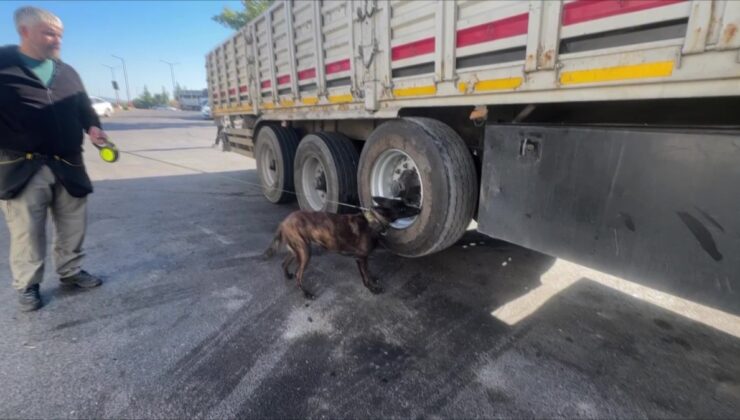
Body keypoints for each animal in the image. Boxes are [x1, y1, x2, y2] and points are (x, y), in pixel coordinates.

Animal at [264, 197, 420, 298]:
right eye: (402, 208)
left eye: (405, 203)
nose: (419, 209)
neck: (373, 221)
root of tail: (283, 222)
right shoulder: (361, 258)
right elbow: (365, 276)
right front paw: (372, 289)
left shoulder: (363, 259)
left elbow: (368, 272)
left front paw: (372, 279)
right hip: (305, 252)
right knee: (298, 274)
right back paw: (306, 293)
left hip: (298, 250)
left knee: (283, 263)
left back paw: (287, 275)